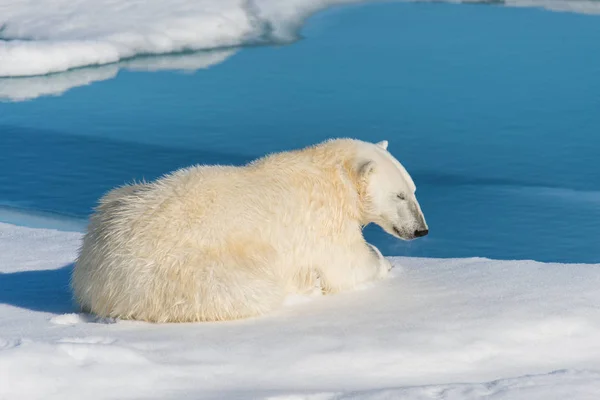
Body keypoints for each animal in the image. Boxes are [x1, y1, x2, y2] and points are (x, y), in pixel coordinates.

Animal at [71, 138, 426, 322]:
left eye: (413, 189)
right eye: (399, 195)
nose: (421, 230)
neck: (333, 173)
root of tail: (94, 276)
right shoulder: (322, 221)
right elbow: (346, 264)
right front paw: (383, 263)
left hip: (118, 199)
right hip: (188, 270)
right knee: (248, 289)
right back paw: (304, 286)